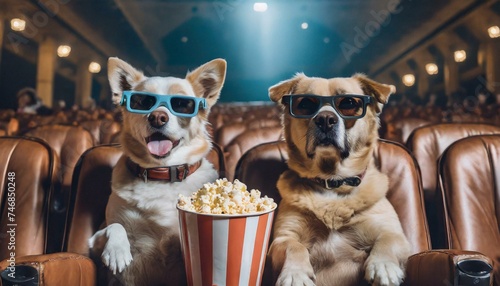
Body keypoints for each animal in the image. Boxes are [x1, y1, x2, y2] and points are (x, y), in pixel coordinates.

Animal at [89, 57, 226, 284]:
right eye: (142, 102)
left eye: (182, 104)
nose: (157, 117)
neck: (161, 173)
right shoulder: (92, 241)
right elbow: (115, 226)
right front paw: (117, 251)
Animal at [270, 73, 410, 286]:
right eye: (305, 104)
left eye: (349, 103)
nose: (325, 119)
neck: (333, 181)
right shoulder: (283, 237)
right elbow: (294, 247)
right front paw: (295, 274)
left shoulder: (396, 235)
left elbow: (388, 240)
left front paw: (383, 266)